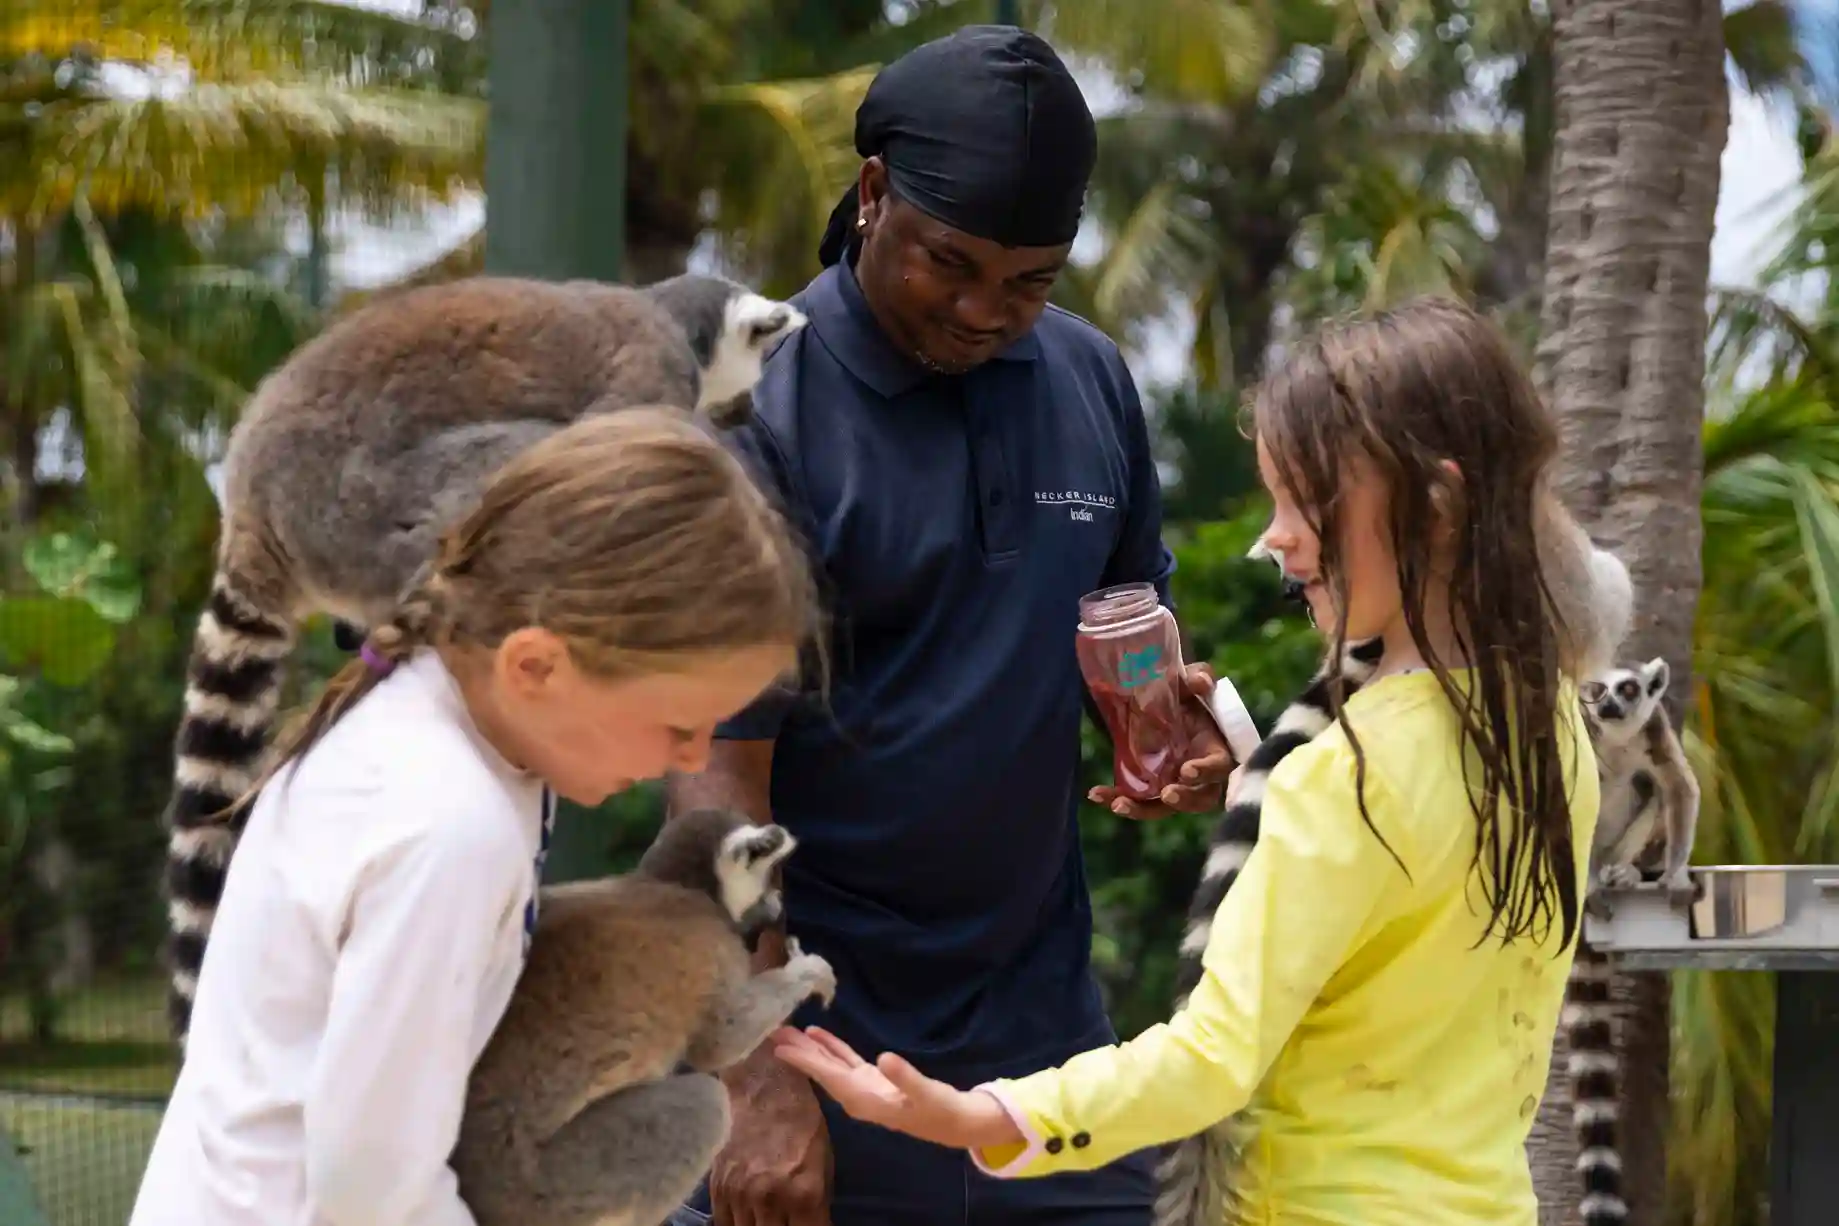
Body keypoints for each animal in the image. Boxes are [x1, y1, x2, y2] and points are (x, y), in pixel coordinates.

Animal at [452, 807, 838, 1226]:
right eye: (767, 876)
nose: (775, 902)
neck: (676, 883)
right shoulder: (718, 949)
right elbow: (720, 1043)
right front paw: (808, 972)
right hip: (551, 1187)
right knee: (704, 1105)